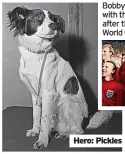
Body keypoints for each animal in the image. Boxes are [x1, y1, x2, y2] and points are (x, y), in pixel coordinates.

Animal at [7, 6, 113, 149]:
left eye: (53, 19)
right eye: (37, 17)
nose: (54, 25)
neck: (37, 54)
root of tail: (86, 121)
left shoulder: (48, 93)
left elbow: (44, 119)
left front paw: (42, 140)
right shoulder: (35, 95)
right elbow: (36, 115)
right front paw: (35, 130)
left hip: (69, 102)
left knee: (78, 130)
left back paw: (66, 134)